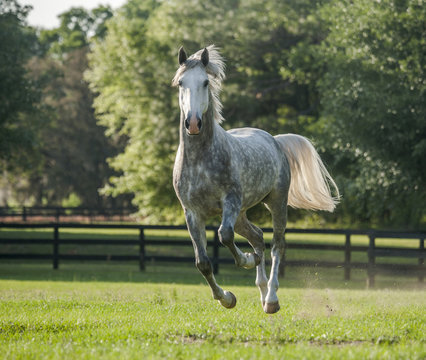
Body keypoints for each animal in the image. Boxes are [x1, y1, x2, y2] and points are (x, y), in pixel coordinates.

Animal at [173, 45, 340, 316]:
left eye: (206, 82)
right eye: (180, 83)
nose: (194, 123)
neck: (200, 160)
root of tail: (275, 140)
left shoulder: (230, 201)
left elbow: (224, 235)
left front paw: (246, 260)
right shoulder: (192, 213)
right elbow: (203, 263)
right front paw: (227, 298)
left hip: (276, 203)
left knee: (277, 244)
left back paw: (271, 298)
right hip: (242, 214)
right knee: (258, 237)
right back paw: (261, 290)